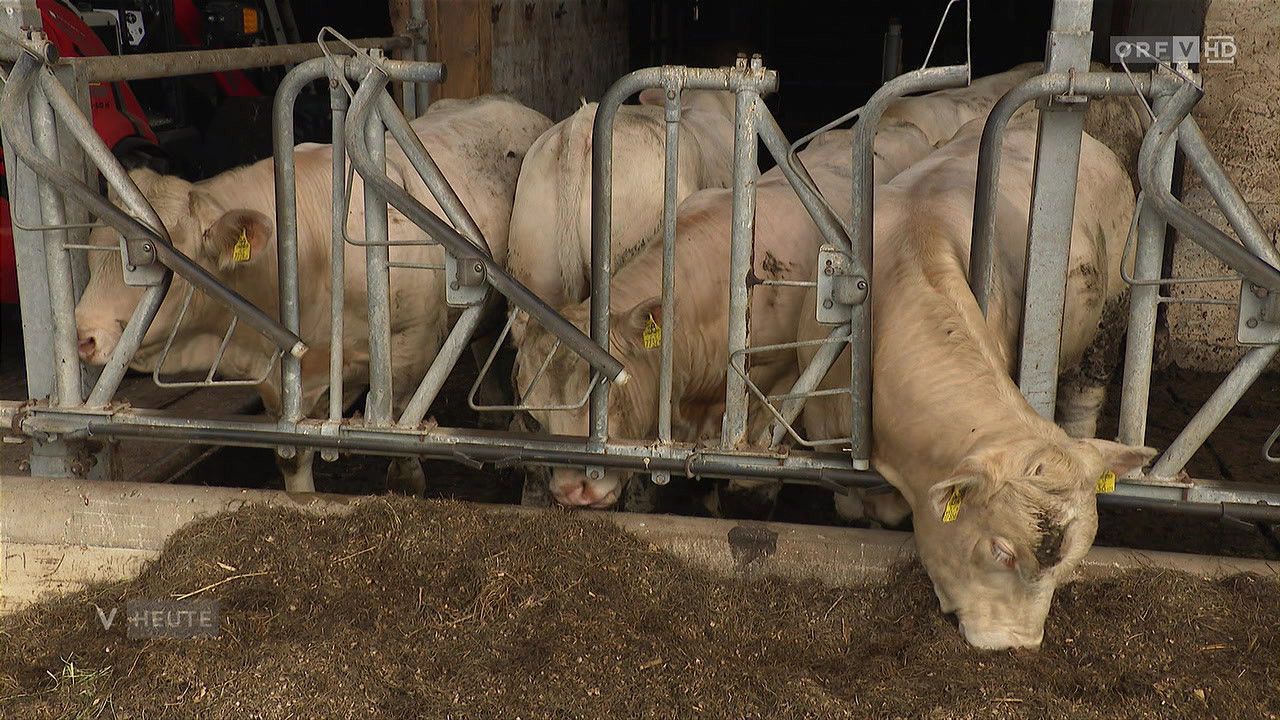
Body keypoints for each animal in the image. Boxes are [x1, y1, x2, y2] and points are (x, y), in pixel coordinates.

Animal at [74, 94, 552, 492]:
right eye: (93, 251)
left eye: (153, 256)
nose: (83, 336)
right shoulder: (279, 383)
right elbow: (293, 458)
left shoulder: (412, 345)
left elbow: (401, 442)